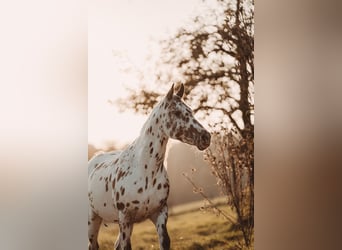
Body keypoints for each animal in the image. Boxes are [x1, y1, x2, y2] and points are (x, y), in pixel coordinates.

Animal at [87, 84, 211, 250]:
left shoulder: (159, 213)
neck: (145, 170)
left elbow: (164, 242)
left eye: (190, 111)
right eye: (176, 112)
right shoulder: (125, 219)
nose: (206, 137)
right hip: (93, 220)